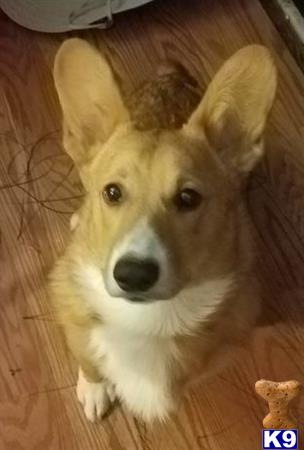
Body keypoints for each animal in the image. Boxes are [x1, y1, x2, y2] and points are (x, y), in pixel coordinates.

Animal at [49, 37, 278, 422]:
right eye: (112, 192)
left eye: (188, 198)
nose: (133, 275)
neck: (146, 318)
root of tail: (169, 76)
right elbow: (89, 360)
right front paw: (94, 388)